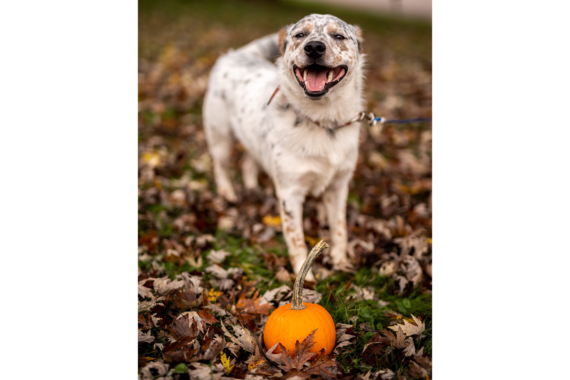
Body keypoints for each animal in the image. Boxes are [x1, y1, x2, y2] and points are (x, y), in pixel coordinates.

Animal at [203, 14, 364, 280]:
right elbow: (297, 239)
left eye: (338, 36)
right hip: (221, 138)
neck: (322, 121)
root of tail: (234, 54)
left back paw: (253, 187)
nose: (314, 47)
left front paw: (340, 262)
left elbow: (340, 228)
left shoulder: (339, 186)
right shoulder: (290, 193)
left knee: (249, 162)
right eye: (300, 35)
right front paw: (304, 278)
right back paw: (228, 193)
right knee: (220, 166)